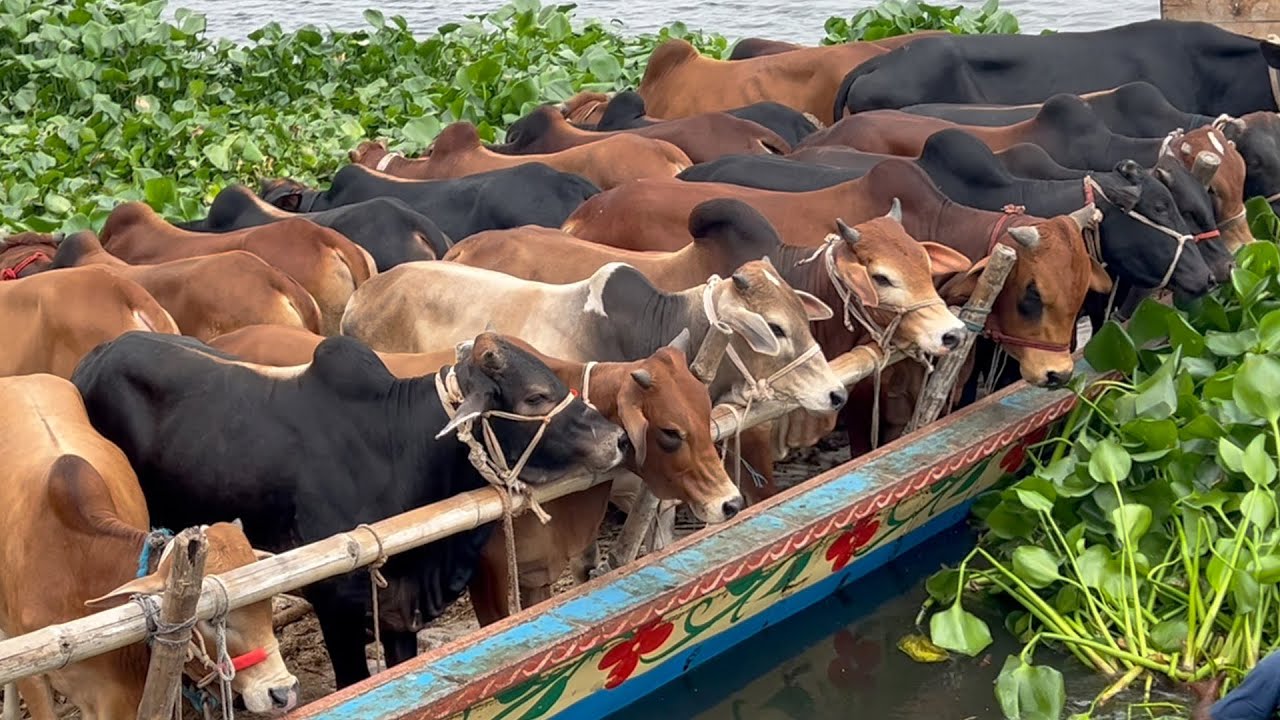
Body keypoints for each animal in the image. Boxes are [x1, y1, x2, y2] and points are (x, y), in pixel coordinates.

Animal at [0, 373, 298, 717]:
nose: (283, 691)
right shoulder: (34, 681)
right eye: (211, 620)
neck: (78, 568)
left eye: (267, 601)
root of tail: (21, 377)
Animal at [72, 331, 626, 689]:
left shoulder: (401, 611)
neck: (395, 446)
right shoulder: (336, 606)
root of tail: (92, 358)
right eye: (536, 396)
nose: (617, 439)